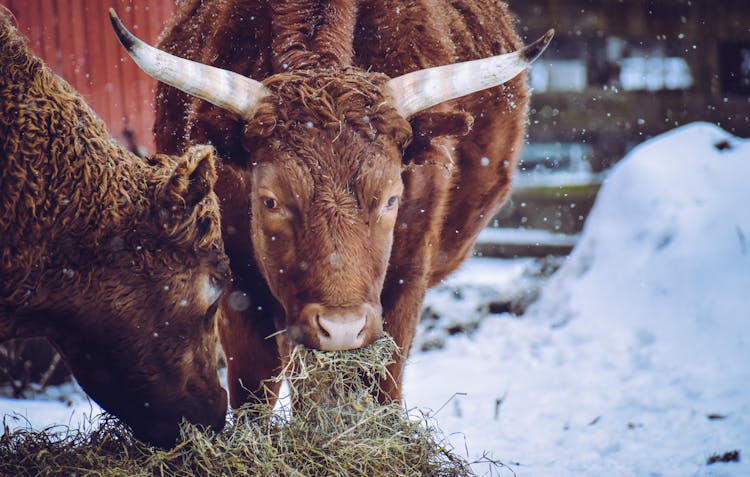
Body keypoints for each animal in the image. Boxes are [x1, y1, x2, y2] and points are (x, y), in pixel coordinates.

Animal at [114, 0, 556, 406]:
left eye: (392, 198)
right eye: (270, 200)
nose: (341, 327)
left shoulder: (407, 279)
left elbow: (385, 388)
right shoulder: (239, 286)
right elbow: (256, 391)